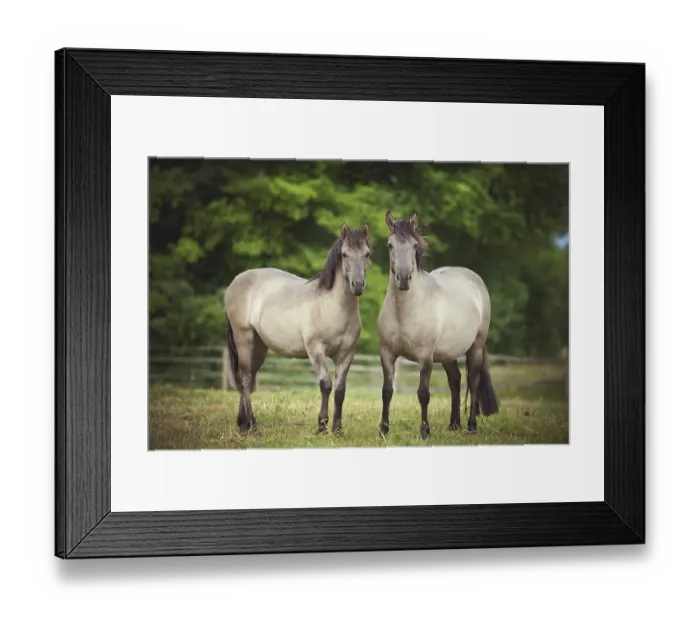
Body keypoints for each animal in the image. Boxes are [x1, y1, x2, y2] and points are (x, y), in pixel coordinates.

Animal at [224, 223, 372, 436]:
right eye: (344, 254)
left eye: (367, 253)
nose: (358, 285)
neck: (331, 306)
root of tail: (236, 281)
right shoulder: (316, 350)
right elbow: (325, 385)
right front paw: (321, 427)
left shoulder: (346, 354)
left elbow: (340, 391)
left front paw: (337, 429)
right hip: (244, 338)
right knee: (244, 379)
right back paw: (253, 427)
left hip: (259, 347)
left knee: (247, 377)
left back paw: (243, 424)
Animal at [377, 211, 499, 439]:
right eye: (390, 245)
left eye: (415, 245)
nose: (404, 279)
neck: (404, 311)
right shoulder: (387, 353)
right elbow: (387, 391)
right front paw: (383, 430)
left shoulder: (425, 356)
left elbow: (423, 393)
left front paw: (425, 431)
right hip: (447, 354)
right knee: (455, 381)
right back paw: (454, 424)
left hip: (476, 347)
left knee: (473, 382)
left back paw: (471, 426)